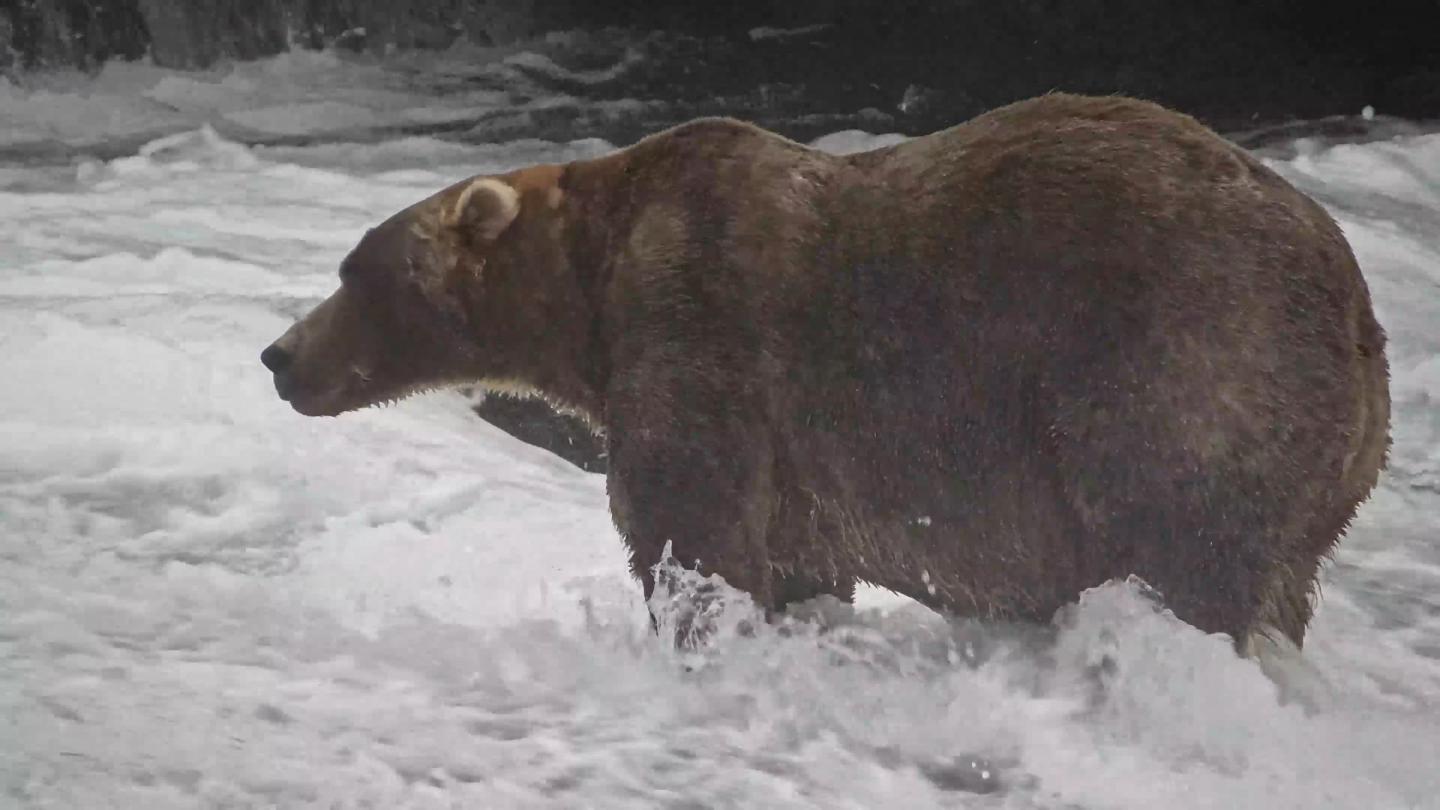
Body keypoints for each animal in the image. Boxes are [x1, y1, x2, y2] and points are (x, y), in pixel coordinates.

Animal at [261, 93, 1390, 650]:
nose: (279, 356)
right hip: (1324, 468)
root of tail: (1358, 307)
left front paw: (693, 628)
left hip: (1182, 362)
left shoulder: (700, 328)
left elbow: (689, 524)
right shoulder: (800, 461)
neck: (589, 290)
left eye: (355, 271)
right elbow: (796, 556)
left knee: (1182, 540)